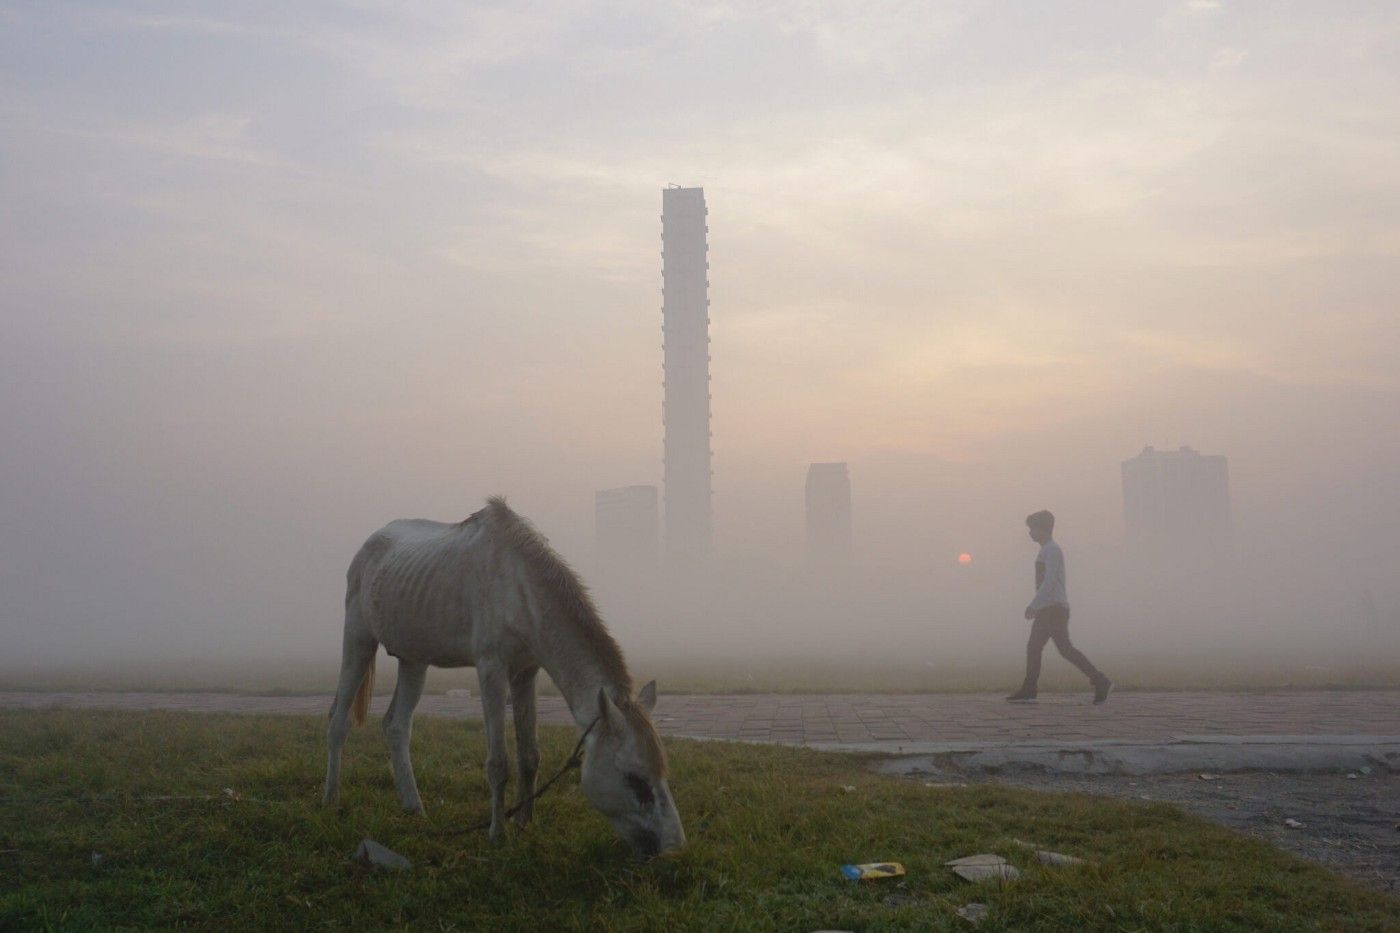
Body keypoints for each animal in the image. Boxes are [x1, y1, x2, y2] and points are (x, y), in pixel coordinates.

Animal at [322, 498, 683, 851]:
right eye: (634, 779)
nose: (674, 845)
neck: (520, 586)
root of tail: (368, 547)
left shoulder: (525, 672)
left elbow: (529, 754)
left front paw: (524, 821)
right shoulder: (491, 669)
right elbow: (499, 762)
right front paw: (498, 833)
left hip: (413, 659)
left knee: (396, 726)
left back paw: (414, 807)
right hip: (358, 639)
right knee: (339, 722)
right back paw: (331, 799)